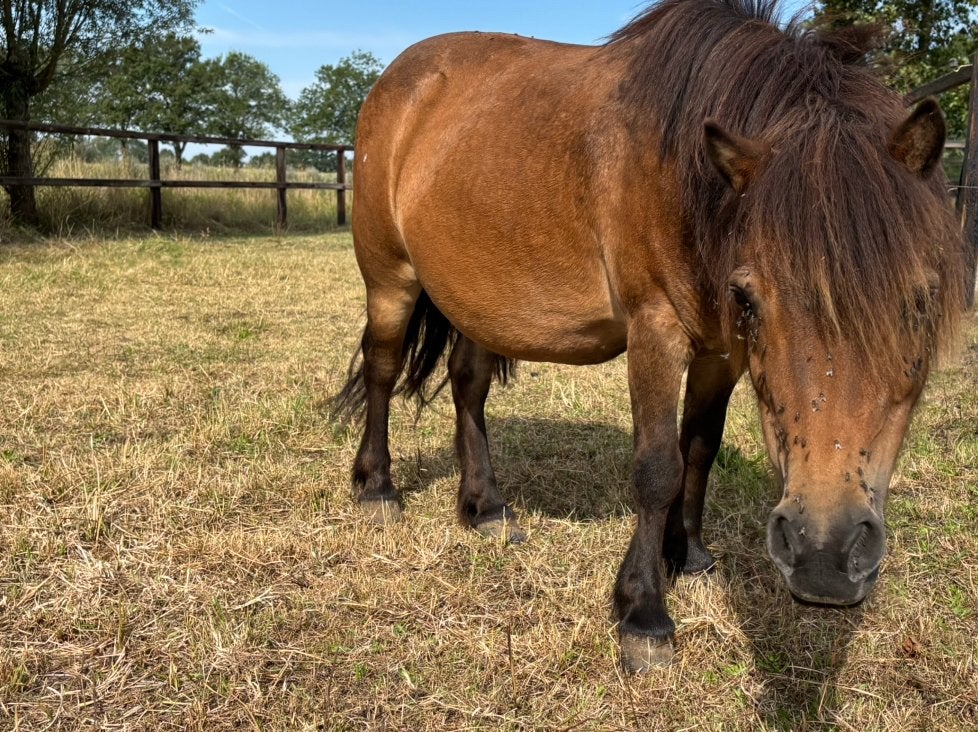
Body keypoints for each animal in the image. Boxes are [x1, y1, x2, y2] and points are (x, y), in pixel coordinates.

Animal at [335, 0, 966, 673]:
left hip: (477, 297)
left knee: (467, 386)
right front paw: (643, 611)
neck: (687, 179)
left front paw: (685, 554)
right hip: (391, 279)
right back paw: (377, 490)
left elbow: (700, 449)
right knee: (381, 368)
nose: (824, 554)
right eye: (751, 299)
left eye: (922, 299)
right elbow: (658, 466)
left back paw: (486, 508)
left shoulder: (720, 352)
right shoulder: (655, 331)